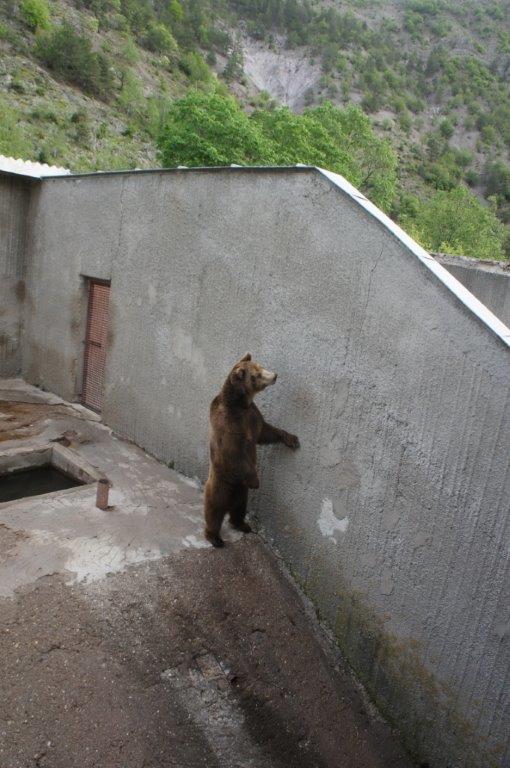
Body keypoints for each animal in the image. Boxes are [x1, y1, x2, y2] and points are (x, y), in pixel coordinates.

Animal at [204, 353, 299, 548]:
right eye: (256, 374)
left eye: (261, 366)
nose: (275, 375)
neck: (241, 404)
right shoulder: (229, 426)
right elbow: (236, 453)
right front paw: (256, 481)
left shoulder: (252, 416)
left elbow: (265, 431)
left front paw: (291, 439)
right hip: (221, 483)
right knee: (214, 510)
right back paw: (215, 537)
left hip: (242, 492)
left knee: (239, 509)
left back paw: (242, 524)